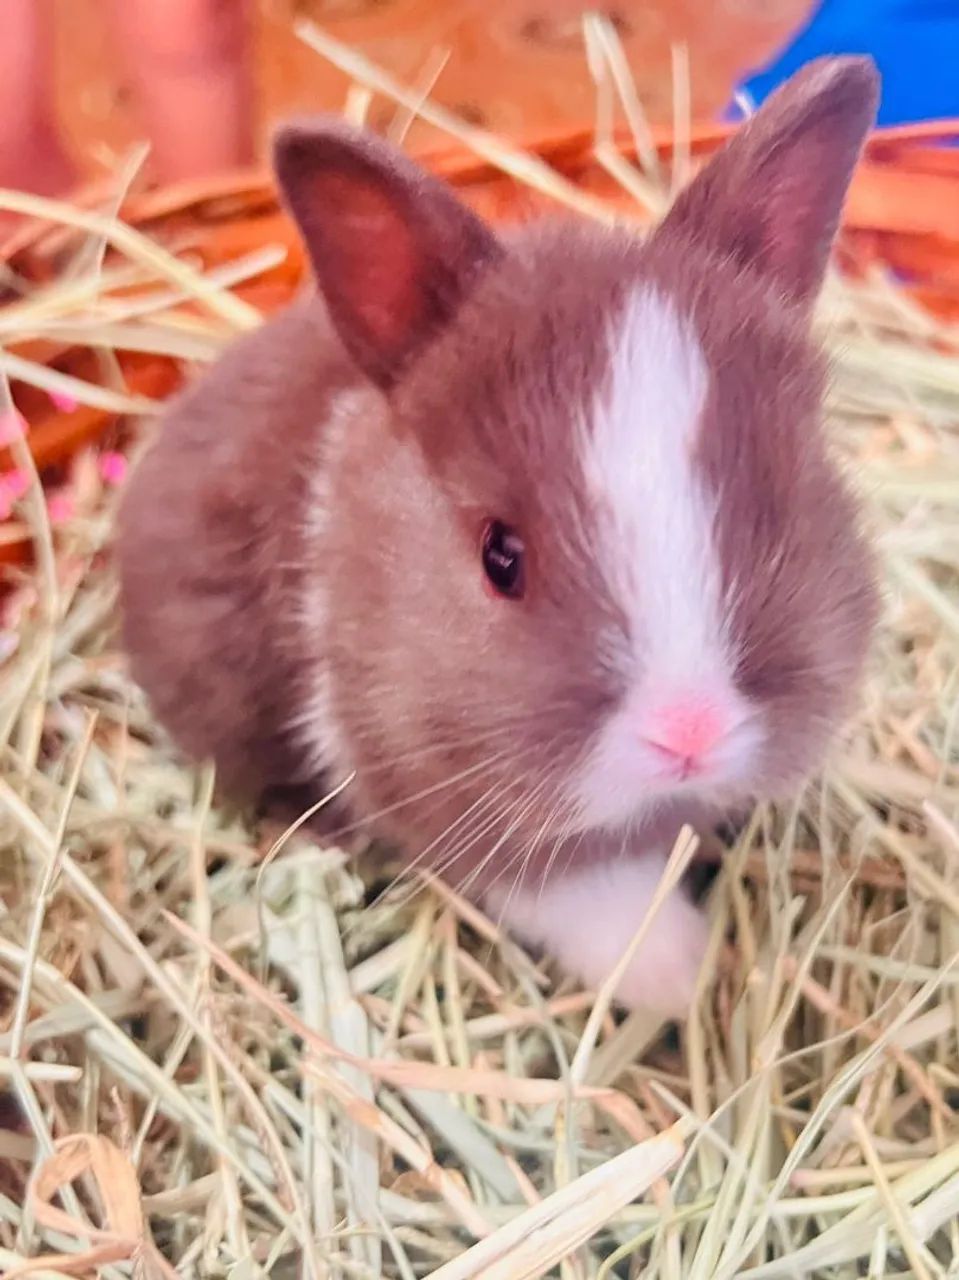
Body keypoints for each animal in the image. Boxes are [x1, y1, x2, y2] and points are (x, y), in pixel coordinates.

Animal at [116, 55, 881, 1016]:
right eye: (500, 557)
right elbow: (576, 891)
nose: (689, 733)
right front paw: (677, 979)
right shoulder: (438, 790)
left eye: (773, 510)